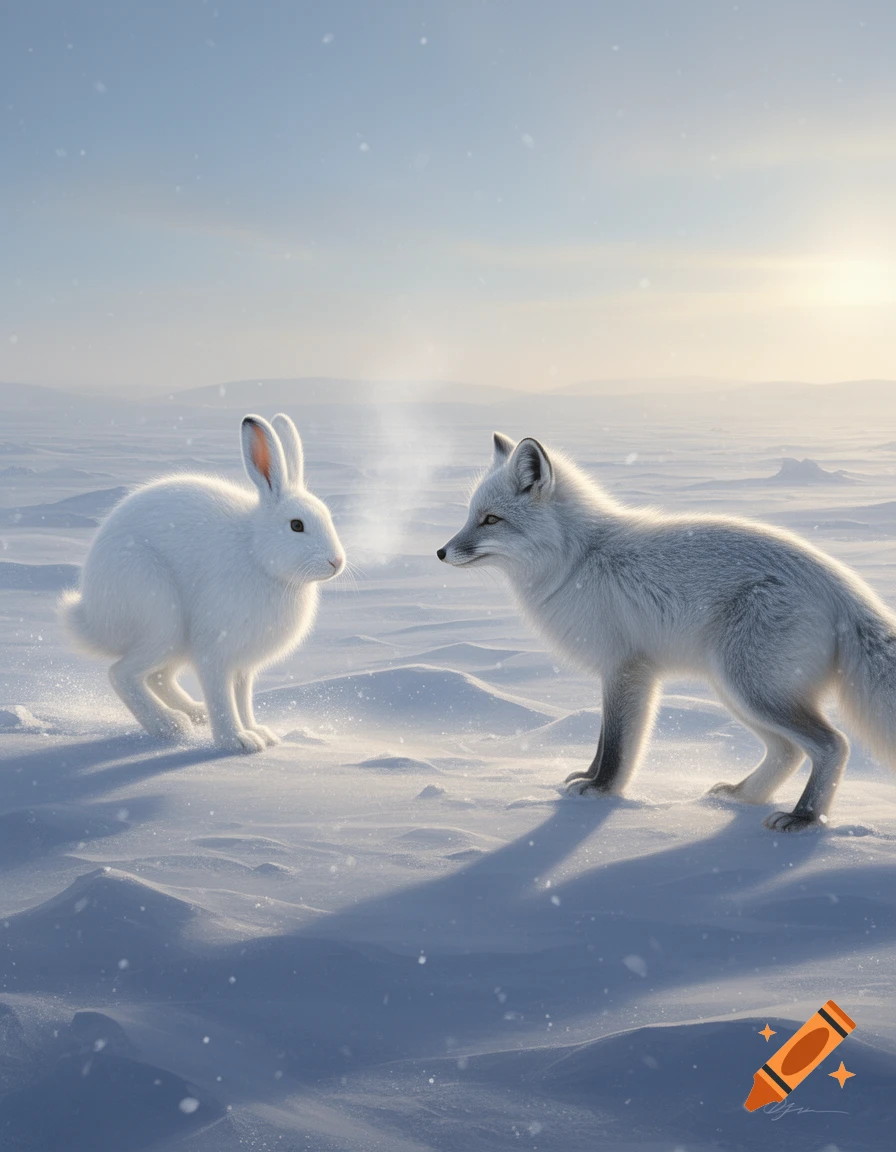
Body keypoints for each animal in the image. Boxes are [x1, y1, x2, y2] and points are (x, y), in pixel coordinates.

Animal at [59, 412, 345, 753]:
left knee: (157, 676)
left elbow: (242, 699)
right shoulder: (215, 650)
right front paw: (237, 742)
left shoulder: (243, 666)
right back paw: (170, 725)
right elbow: (222, 698)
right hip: (159, 618)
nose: (337, 562)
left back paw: (194, 714)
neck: (257, 554)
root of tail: (92, 617)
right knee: (122, 674)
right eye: (297, 525)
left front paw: (259, 734)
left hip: (173, 641)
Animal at [437, 432, 896, 832]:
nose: (441, 552)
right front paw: (587, 779)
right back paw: (742, 796)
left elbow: (618, 746)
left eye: (491, 520)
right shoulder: (622, 672)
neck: (576, 561)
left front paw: (601, 791)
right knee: (788, 751)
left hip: (752, 689)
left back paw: (805, 818)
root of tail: (842, 586)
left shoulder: (626, 669)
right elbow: (604, 742)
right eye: (470, 516)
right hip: (740, 691)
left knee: (833, 744)